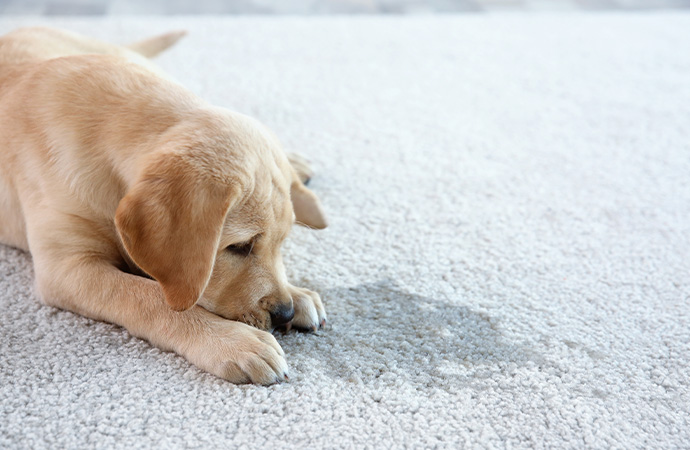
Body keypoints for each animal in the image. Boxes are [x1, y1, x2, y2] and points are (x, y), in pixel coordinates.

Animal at [0, 28, 328, 384]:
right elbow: (148, 296)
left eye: (281, 243)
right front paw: (232, 341)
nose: (285, 312)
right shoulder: (68, 268)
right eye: (240, 247)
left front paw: (297, 292)